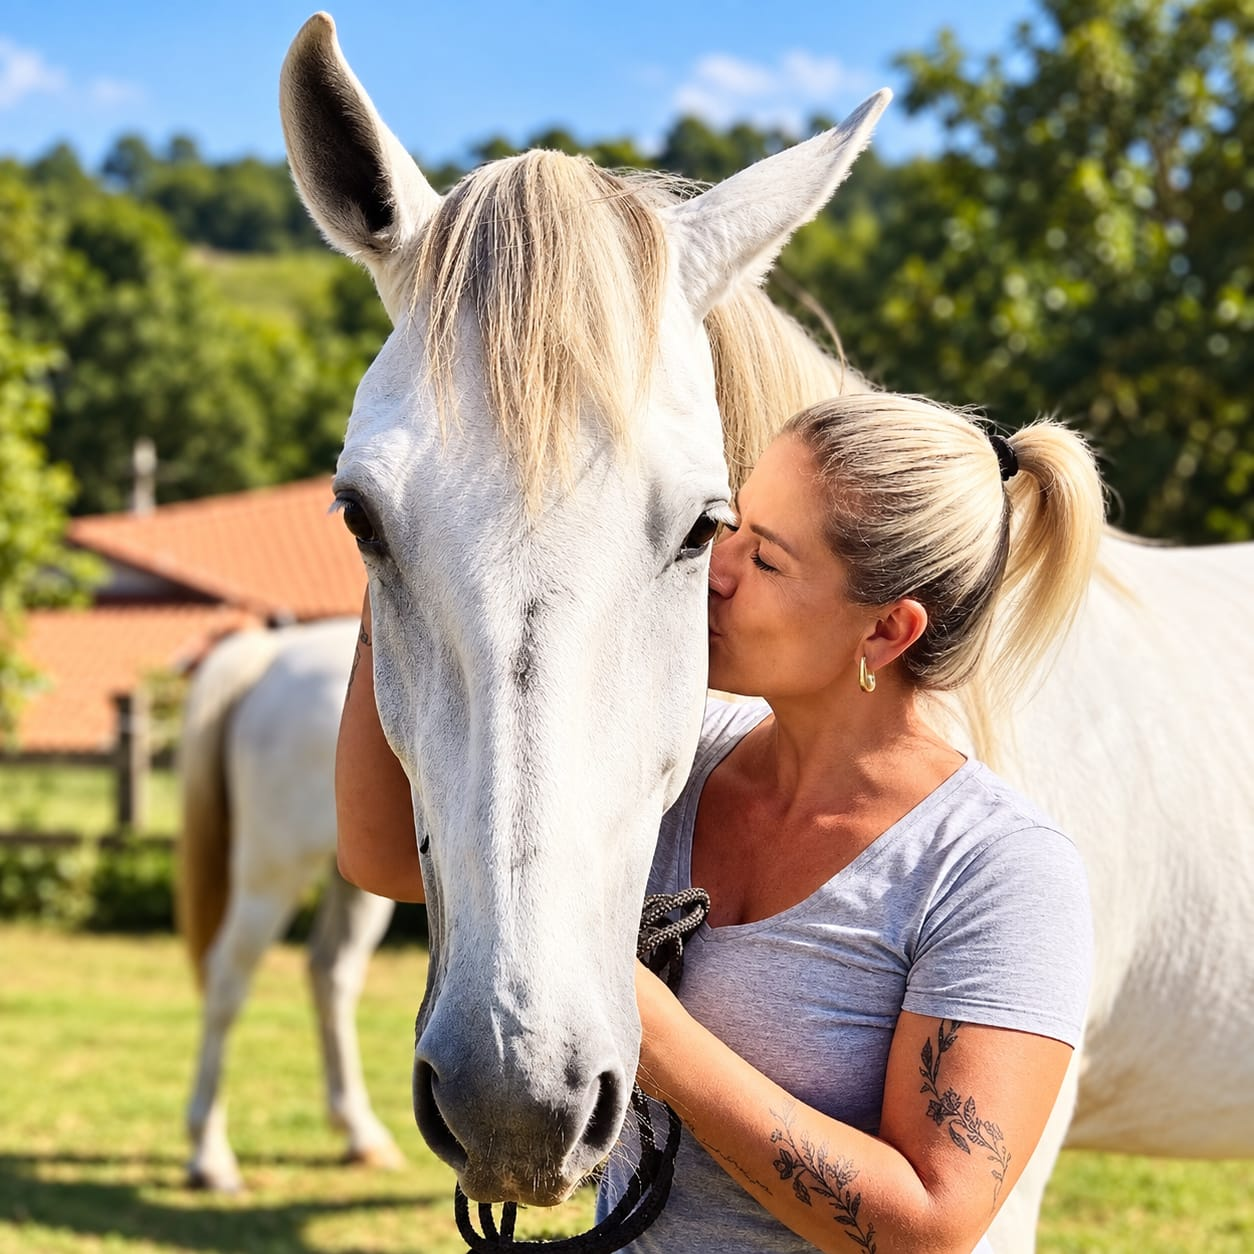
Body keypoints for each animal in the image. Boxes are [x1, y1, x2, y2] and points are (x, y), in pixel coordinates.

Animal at [177, 616, 403, 1190]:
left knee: (330, 974)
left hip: (359, 881)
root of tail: (274, 653)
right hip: (272, 871)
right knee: (227, 980)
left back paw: (360, 1133)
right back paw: (210, 1153)